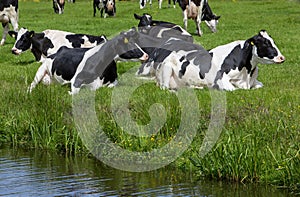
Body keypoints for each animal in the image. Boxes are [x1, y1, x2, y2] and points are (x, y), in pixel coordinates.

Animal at [154, 29, 284, 91]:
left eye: (272, 41)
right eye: (265, 43)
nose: (282, 57)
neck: (247, 73)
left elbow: (259, 86)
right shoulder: (221, 79)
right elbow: (234, 89)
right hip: (166, 70)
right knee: (164, 88)